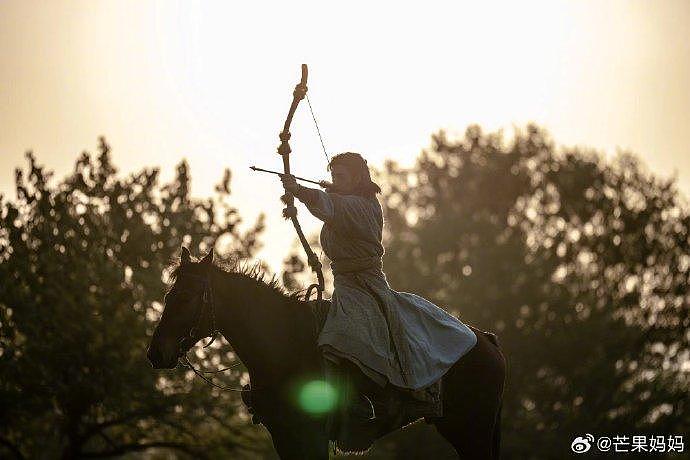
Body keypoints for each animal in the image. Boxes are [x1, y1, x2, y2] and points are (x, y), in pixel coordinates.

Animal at [146, 248, 506, 460]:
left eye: (188, 297)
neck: (282, 345)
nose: (156, 352)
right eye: (168, 294)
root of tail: (486, 339)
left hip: (471, 431)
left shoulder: (309, 435)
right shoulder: (284, 435)